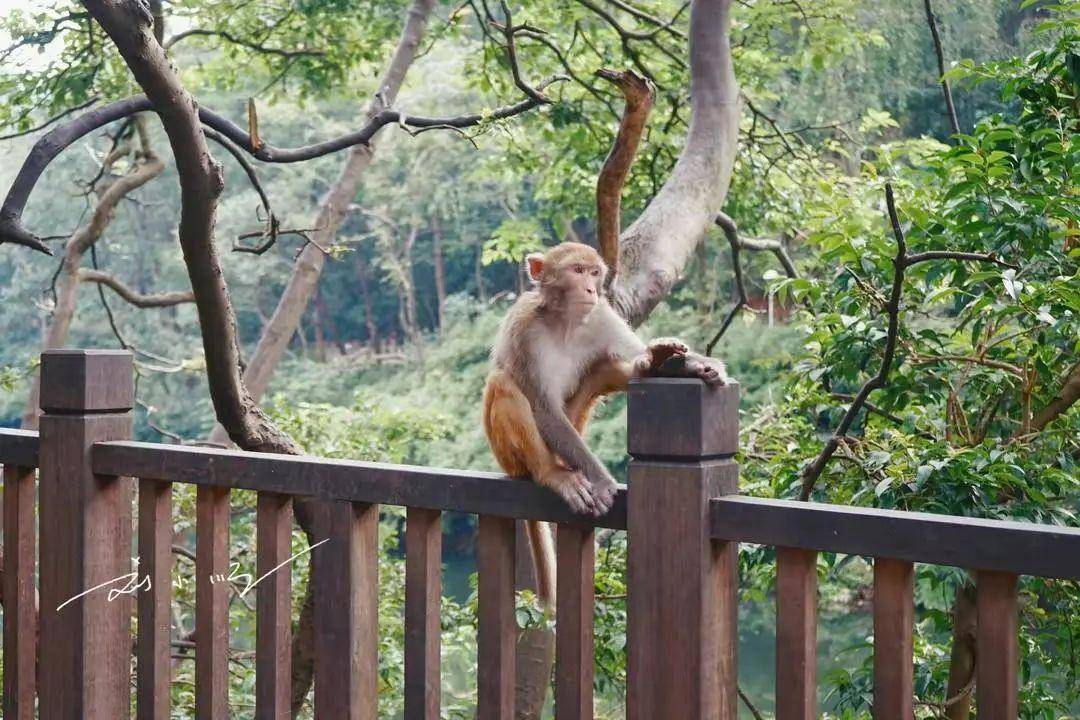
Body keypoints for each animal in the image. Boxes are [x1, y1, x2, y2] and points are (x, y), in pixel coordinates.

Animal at [481, 241, 725, 608]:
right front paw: (602, 480)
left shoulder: (602, 316)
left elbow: (618, 351)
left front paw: (693, 364)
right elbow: (543, 407)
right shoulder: (524, 328)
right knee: (503, 383)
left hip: (577, 422)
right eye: (577, 271)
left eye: (595, 273)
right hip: (510, 456)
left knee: (606, 364)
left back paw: (656, 364)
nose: (591, 289)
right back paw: (551, 474)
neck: (565, 322)